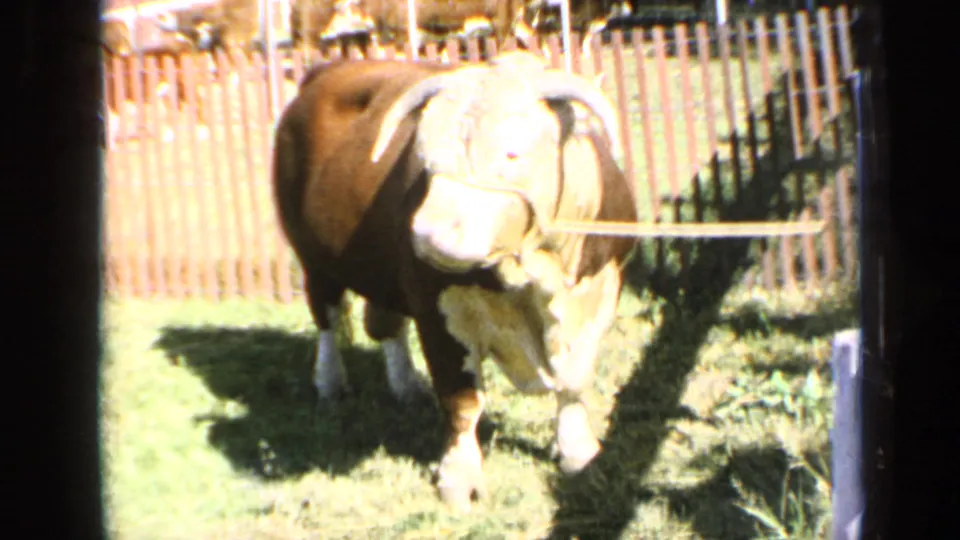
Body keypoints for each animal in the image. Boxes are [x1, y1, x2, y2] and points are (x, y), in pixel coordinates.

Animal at [272, 50, 638, 510]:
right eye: (423, 154)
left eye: (512, 153)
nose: (429, 235)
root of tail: (328, 70)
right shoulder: (436, 308)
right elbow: (461, 398)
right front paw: (459, 479)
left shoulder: (600, 289)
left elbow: (574, 379)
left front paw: (578, 452)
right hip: (314, 261)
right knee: (327, 319)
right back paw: (330, 382)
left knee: (385, 324)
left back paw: (406, 385)